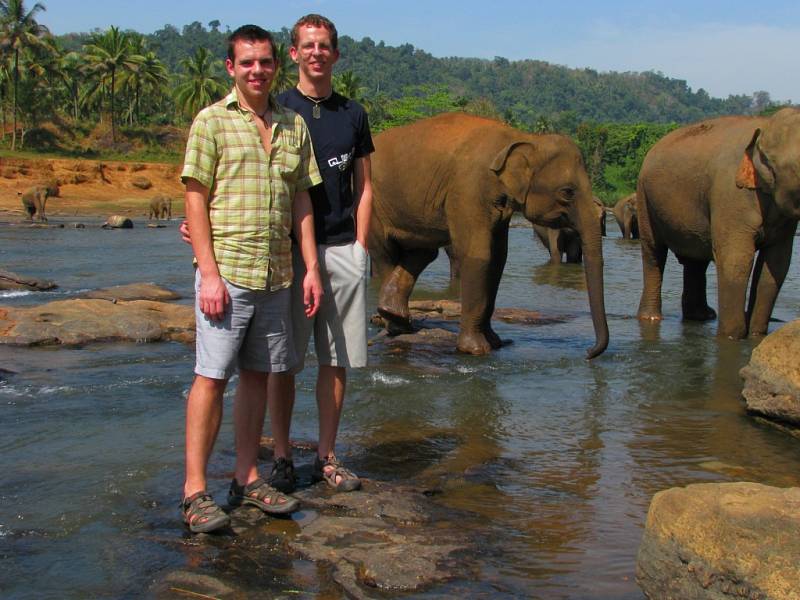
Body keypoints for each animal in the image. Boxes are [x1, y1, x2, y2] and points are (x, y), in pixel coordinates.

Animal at [372, 112, 608, 356]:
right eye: (567, 192)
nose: (588, 353)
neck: (522, 137)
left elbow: (498, 258)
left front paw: (496, 342)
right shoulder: (468, 188)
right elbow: (479, 255)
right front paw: (475, 350)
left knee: (424, 251)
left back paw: (395, 315)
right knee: (386, 254)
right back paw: (395, 325)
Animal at [636, 108, 800, 340]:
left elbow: (775, 265)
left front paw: (756, 335)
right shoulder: (730, 194)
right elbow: (736, 259)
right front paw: (730, 337)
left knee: (695, 260)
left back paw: (701, 317)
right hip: (644, 196)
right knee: (653, 252)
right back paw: (651, 318)